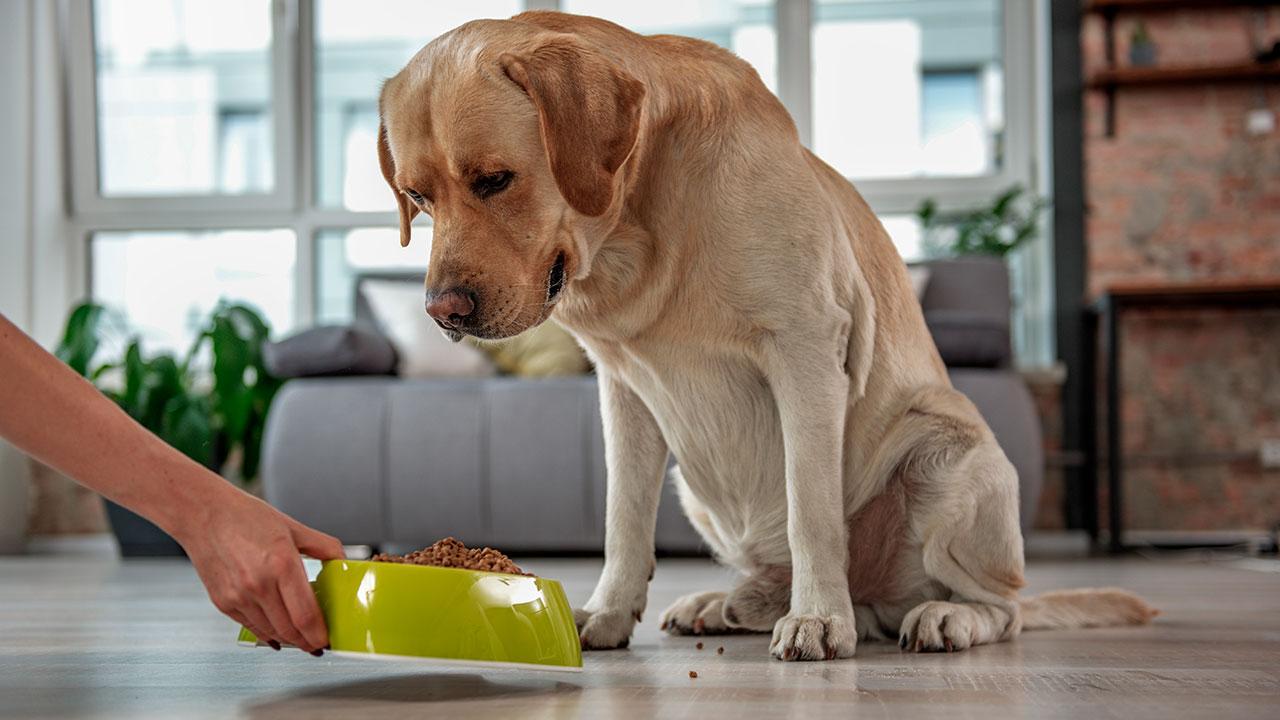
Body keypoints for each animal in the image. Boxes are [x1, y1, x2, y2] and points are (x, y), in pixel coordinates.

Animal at [373, 12, 1157, 661]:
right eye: (416, 196)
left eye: (495, 180)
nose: (443, 311)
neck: (639, 233)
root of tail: (879, 599)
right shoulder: (623, 391)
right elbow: (622, 519)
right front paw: (607, 612)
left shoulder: (805, 353)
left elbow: (812, 510)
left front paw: (819, 621)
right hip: (694, 483)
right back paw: (727, 604)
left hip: (947, 452)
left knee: (1004, 607)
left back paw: (935, 616)